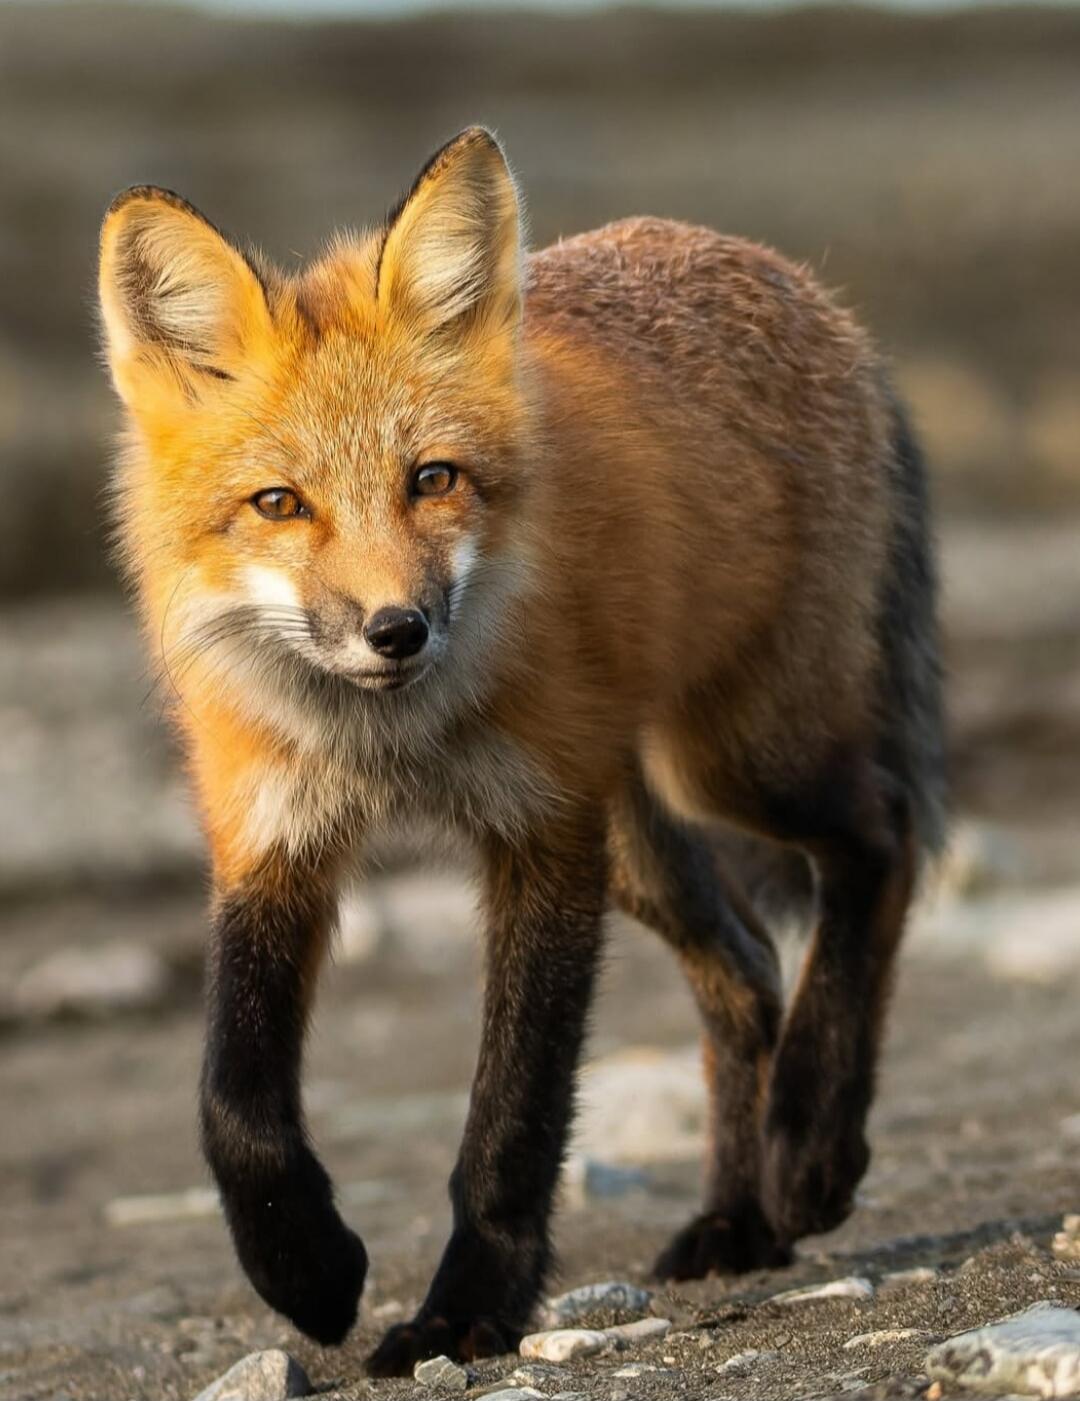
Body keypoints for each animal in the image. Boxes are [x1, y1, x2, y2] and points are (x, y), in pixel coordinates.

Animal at [97, 127, 945, 1373]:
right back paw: (739, 1220)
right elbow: (232, 1105)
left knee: (880, 840)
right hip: (638, 833)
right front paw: (305, 1272)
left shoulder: (541, 834)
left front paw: (468, 1311)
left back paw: (811, 1149)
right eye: (279, 503)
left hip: (732, 760)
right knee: (745, 964)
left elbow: (514, 1116)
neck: (395, 745)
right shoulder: (272, 832)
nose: (396, 629)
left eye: (432, 480)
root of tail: (797, 282)